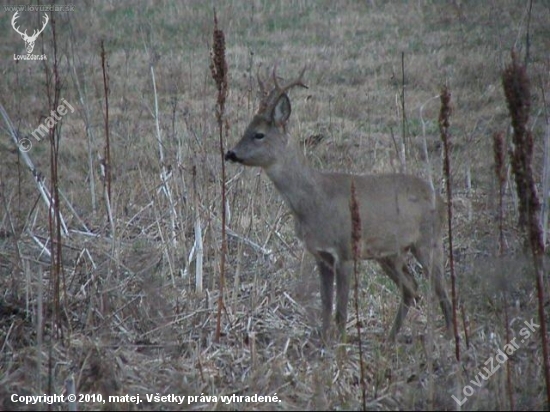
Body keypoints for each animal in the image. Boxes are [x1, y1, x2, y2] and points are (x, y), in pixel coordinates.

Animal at [224, 67, 452, 342]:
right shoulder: (320, 255)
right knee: (411, 287)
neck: (315, 200)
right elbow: (325, 305)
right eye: (246, 128)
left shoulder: (344, 251)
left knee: (441, 290)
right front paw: (323, 342)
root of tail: (440, 199)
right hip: (389, 253)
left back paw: (452, 336)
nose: (231, 153)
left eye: (259, 134)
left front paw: (339, 345)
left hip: (428, 241)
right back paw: (390, 339)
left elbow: (341, 311)